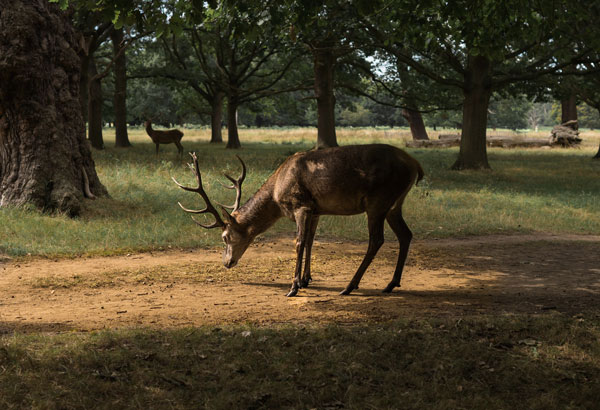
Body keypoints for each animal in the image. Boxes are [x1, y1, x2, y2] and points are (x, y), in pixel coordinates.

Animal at [173, 145, 424, 298]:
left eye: (224, 237)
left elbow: (299, 243)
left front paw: (293, 286)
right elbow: (311, 241)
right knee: (406, 234)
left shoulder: (301, 205)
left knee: (377, 240)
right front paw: (306, 279)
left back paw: (350, 286)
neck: (277, 194)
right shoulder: (316, 210)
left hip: (378, 201)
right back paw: (391, 283)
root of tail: (416, 165)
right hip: (395, 204)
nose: (226, 263)